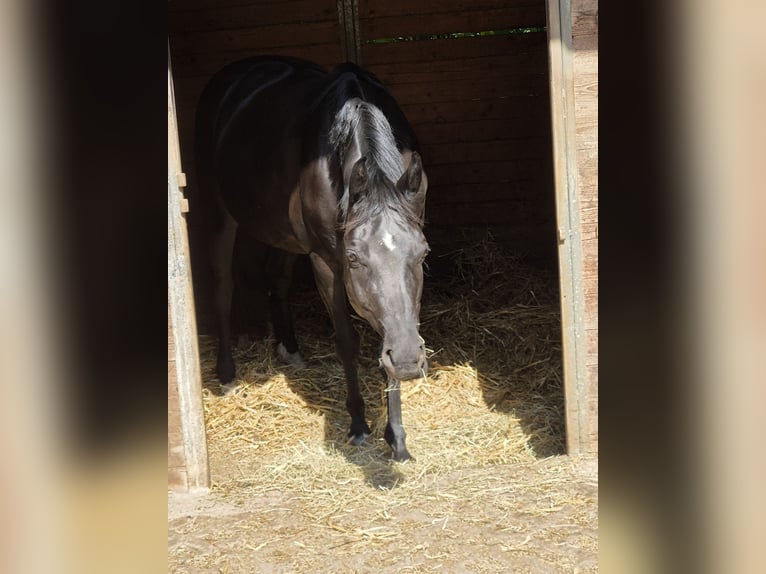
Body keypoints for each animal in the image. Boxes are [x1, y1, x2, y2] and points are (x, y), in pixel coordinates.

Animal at [195, 57, 428, 464]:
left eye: (423, 252)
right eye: (354, 258)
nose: (407, 360)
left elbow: (392, 326)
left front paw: (398, 439)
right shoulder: (325, 262)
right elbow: (347, 340)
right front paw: (359, 424)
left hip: (282, 233)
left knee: (276, 280)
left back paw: (290, 348)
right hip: (219, 211)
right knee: (223, 287)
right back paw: (226, 374)